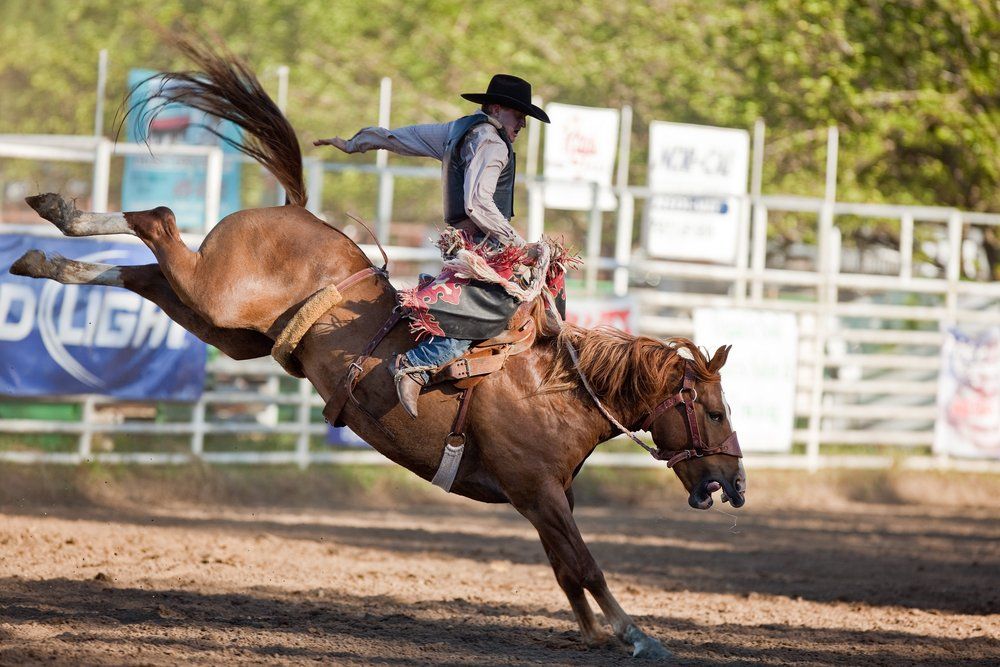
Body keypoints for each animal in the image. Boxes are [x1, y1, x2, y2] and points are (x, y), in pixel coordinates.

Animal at [10, 35, 746, 660]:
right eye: (713, 412)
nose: (734, 485)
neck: (557, 390)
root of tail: (293, 208)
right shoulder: (538, 491)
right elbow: (586, 564)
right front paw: (638, 635)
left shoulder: (545, 499)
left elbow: (568, 571)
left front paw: (599, 632)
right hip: (215, 293)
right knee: (158, 221)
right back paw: (62, 214)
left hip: (227, 327)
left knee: (146, 273)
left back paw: (45, 253)